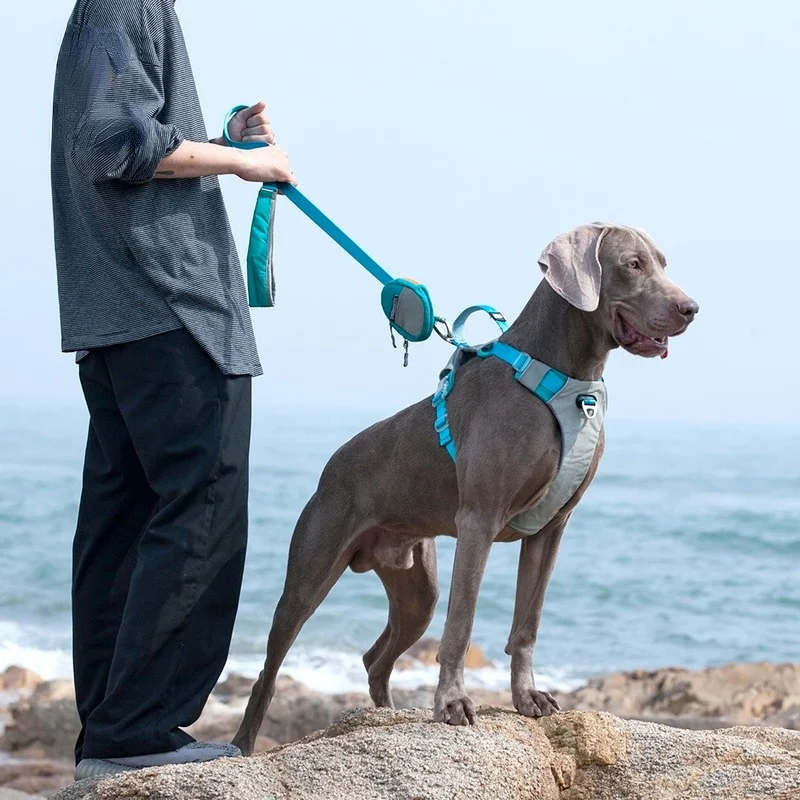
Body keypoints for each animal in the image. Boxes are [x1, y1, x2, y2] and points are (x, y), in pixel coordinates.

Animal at [230, 222, 692, 752]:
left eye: (664, 263)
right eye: (632, 264)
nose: (691, 308)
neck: (565, 377)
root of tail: (333, 464)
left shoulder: (552, 527)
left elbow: (527, 624)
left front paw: (527, 698)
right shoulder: (479, 520)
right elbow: (463, 622)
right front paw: (452, 704)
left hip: (417, 588)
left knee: (375, 658)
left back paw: (386, 716)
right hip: (311, 570)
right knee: (270, 668)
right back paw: (243, 743)